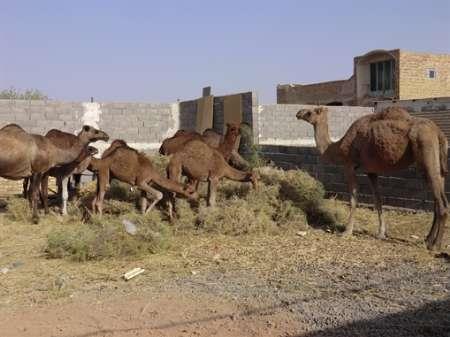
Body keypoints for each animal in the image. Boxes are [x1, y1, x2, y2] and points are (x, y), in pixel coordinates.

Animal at [298, 106, 448, 251]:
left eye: (310, 112)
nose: (298, 113)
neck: (338, 147)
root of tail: (439, 133)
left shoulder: (349, 165)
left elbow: (353, 199)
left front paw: (346, 232)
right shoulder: (371, 171)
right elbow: (378, 200)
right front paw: (381, 233)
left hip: (426, 150)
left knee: (441, 203)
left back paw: (436, 245)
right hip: (435, 163)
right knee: (438, 197)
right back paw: (428, 240)